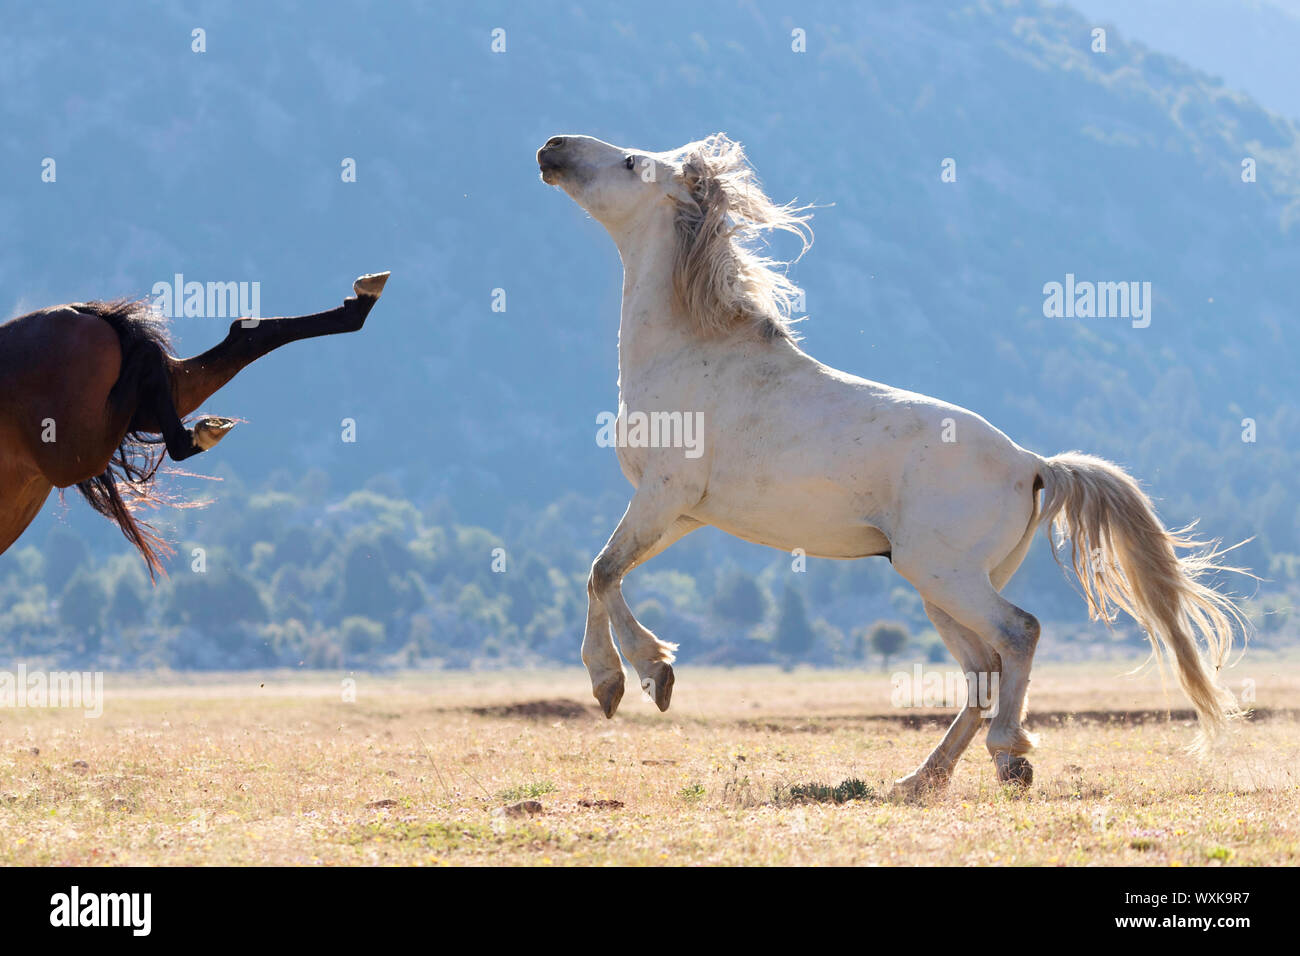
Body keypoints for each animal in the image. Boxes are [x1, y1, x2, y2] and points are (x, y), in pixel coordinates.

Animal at [537, 132, 1249, 795]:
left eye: (631, 161)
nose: (551, 148)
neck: (692, 352)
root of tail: (1033, 463)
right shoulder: (683, 513)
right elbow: (606, 573)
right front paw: (645, 675)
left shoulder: (664, 493)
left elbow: (601, 571)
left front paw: (625, 679)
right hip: (943, 586)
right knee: (985, 666)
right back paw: (926, 777)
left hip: (942, 574)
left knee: (1019, 633)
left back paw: (1007, 753)